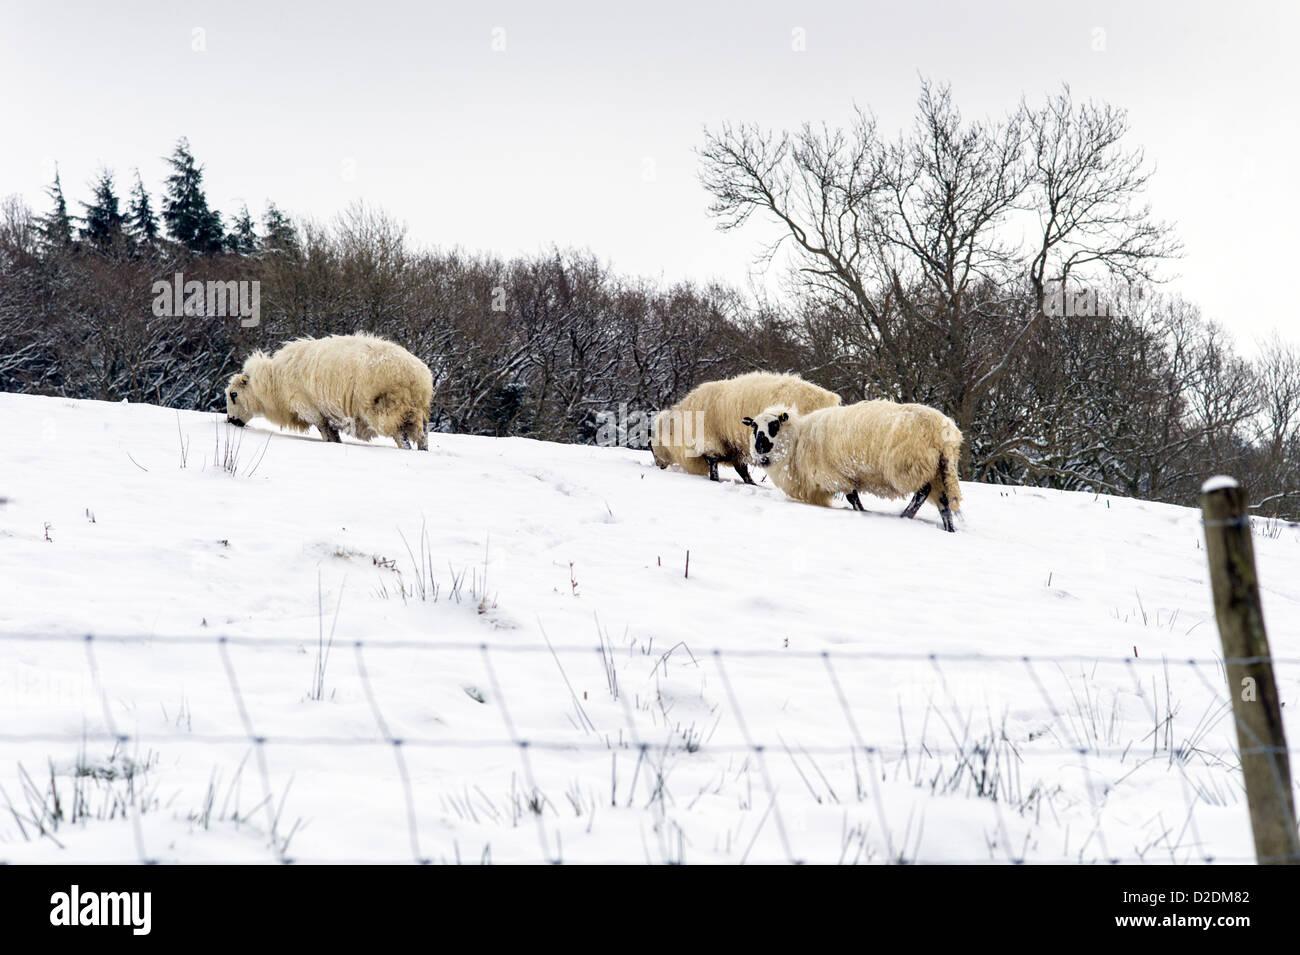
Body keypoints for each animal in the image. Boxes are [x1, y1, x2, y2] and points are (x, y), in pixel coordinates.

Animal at [220, 332, 428, 452]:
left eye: (233, 395)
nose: (230, 421)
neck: (273, 382)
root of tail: (418, 376)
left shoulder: (310, 409)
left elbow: (325, 432)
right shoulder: (326, 413)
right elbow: (333, 435)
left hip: (388, 410)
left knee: (402, 439)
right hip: (416, 412)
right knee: (423, 438)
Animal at [650, 374, 842, 485]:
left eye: (652, 445)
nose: (659, 465)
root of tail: (830, 400)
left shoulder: (710, 441)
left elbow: (713, 465)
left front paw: (715, 481)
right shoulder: (734, 449)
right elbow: (742, 470)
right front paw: (753, 484)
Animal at [743, 394, 967, 530]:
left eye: (774, 426)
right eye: (754, 428)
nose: (760, 452)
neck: (797, 443)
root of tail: (945, 433)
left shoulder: (834, 475)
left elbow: (853, 498)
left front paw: (863, 513)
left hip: (910, 466)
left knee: (922, 492)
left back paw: (905, 516)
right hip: (938, 471)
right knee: (944, 502)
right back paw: (949, 528)